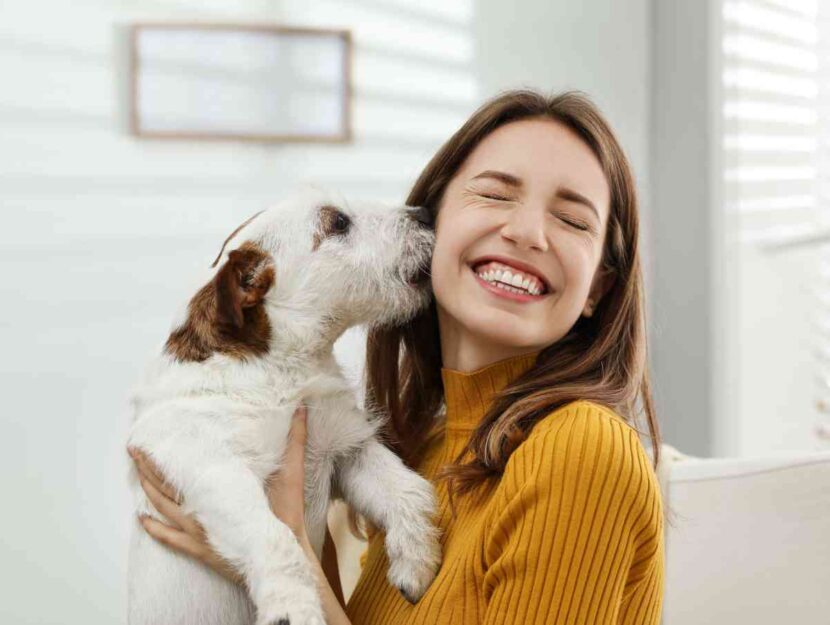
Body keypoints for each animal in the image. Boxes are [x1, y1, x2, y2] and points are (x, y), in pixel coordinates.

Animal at [125, 189, 442, 624]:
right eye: (338, 222)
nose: (426, 213)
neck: (285, 370)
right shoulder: (210, 464)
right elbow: (274, 537)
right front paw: (293, 606)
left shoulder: (346, 450)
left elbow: (409, 491)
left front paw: (416, 560)